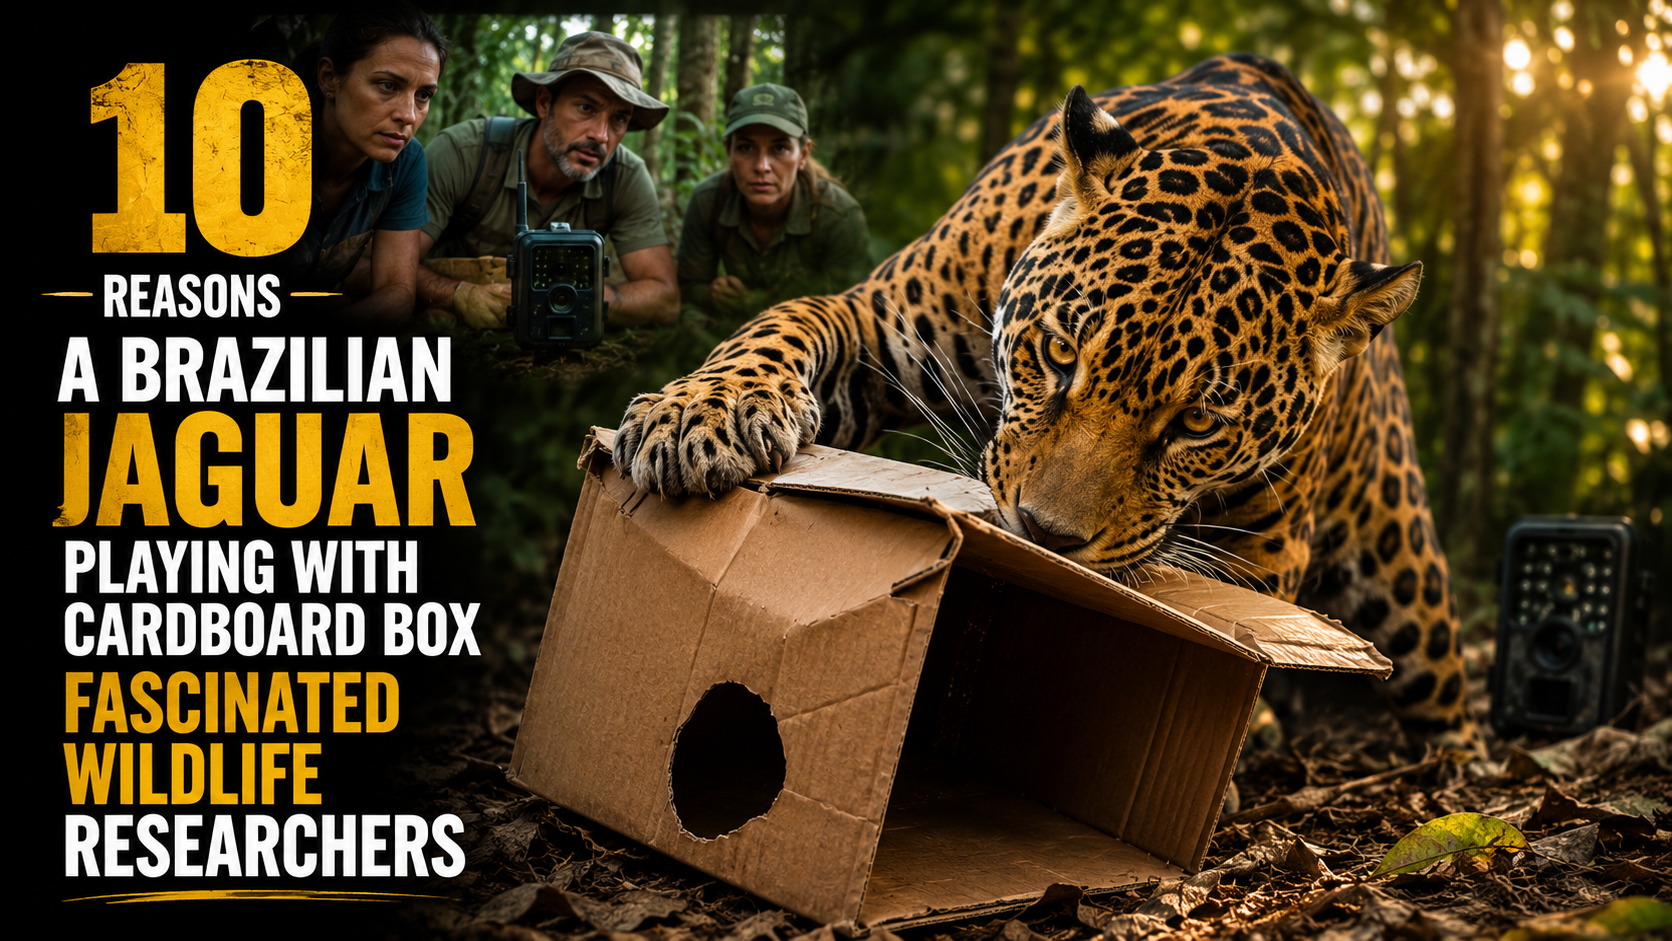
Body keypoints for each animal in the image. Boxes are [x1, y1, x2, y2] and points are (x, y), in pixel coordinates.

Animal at [614, 54, 1480, 752]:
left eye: (1198, 422)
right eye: (1061, 354)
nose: (1045, 533)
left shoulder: (1262, 545)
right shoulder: (874, 323)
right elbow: (782, 321)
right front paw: (700, 413)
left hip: (1400, 561)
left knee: (1444, 682)